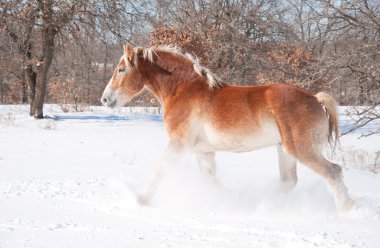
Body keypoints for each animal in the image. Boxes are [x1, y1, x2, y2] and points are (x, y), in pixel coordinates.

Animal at [101, 43, 356, 211]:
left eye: (121, 69)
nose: (105, 99)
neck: (183, 89)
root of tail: (315, 98)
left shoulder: (178, 144)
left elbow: (160, 170)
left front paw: (141, 199)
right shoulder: (203, 151)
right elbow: (211, 181)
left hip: (300, 150)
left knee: (333, 172)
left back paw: (348, 210)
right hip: (284, 151)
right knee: (289, 182)